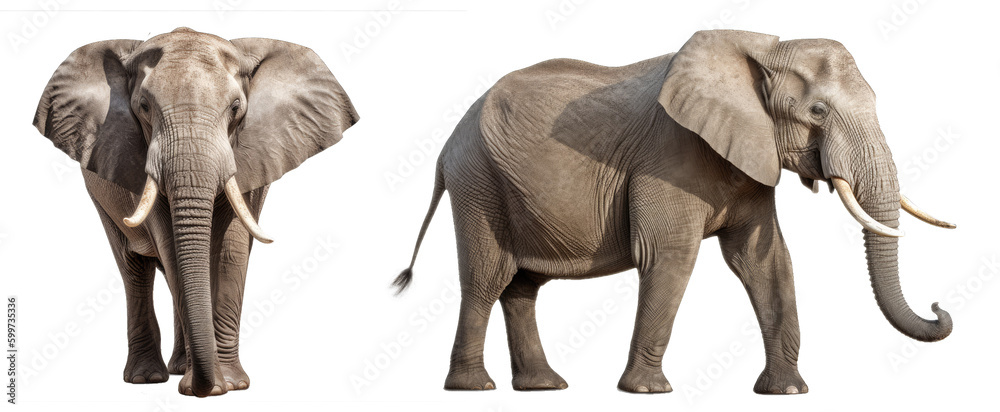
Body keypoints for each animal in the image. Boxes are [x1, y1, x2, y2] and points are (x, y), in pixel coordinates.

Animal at [31, 28, 358, 397]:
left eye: (236, 108)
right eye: (143, 107)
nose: (208, 386)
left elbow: (232, 248)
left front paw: (231, 384)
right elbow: (172, 246)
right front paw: (206, 386)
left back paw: (178, 369)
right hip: (101, 197)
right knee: (134, 269)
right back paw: (149, 377)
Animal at [394, 30, 955, 394]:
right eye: (817, 112)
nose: (938, 307)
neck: (761, 51)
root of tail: (446, 147)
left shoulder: (750, 156)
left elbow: (766, 261)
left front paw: (789, 392)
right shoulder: (671, 154)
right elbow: (671, 255)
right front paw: (646, 393)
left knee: (523, 285)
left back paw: (545, 387)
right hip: (479, 183)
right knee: (488, 277)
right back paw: (474, 389)